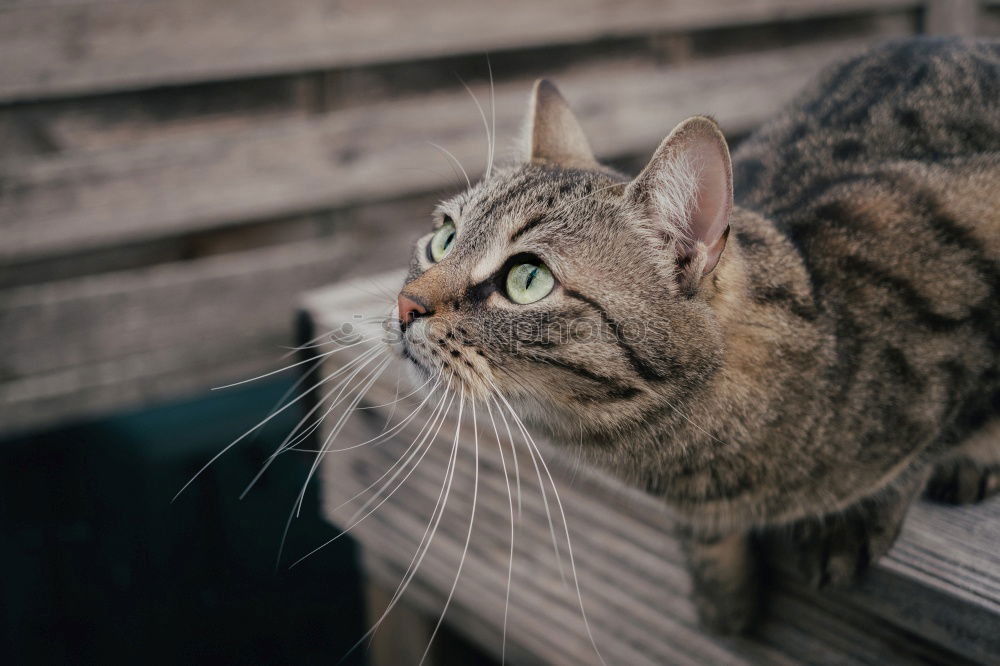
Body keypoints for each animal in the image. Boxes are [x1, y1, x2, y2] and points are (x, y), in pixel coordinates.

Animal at [390, 39, 1000, 632]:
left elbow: (920, 453)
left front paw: (859, 516)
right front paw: (720, 587)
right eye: (444, 237)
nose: (404, 304)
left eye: (527, 278)